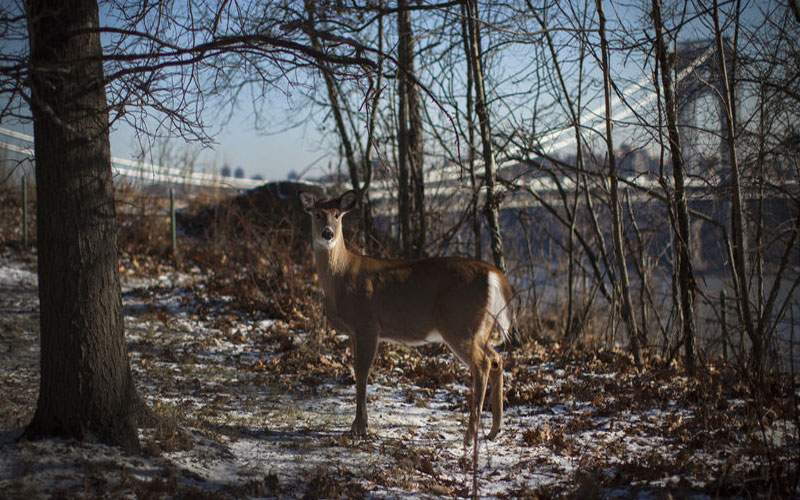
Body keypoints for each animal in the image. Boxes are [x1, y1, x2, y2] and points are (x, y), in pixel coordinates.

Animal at [298, 189, 512, 444]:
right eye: (318, 214)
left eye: (338, 215)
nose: (328, 233)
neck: (341, 276)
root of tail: (495, 276)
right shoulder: (354, 332)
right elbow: (357, 371)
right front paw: (358, 425)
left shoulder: (367, 323)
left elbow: (362, 373)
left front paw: (359, 427)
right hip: (480, 327)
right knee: (496, 358)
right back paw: (494, 430)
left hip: (459, 323)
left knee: (482, 364)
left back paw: (470, 436)